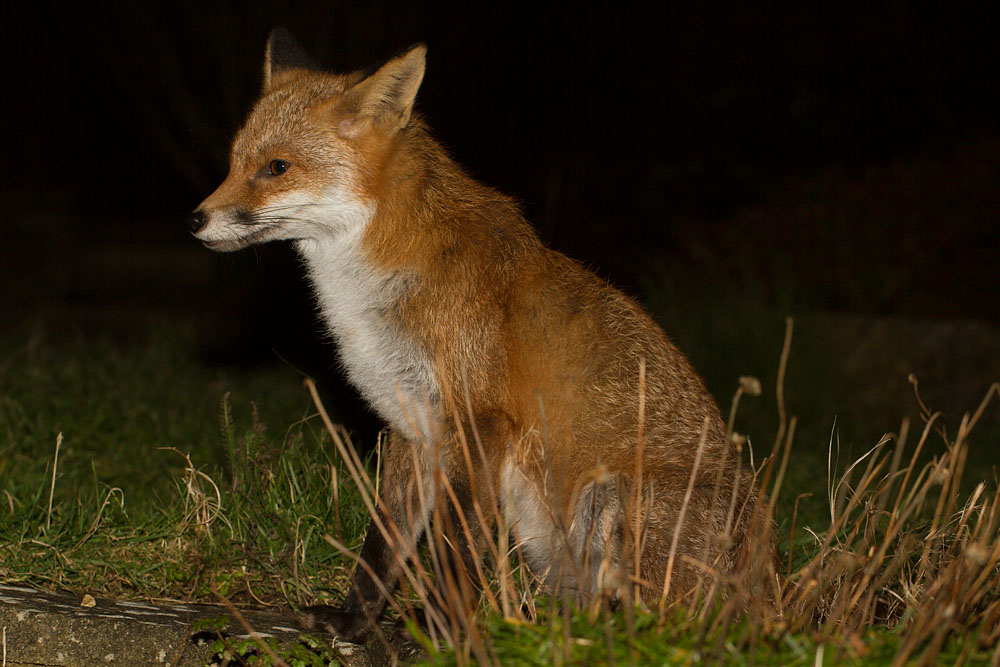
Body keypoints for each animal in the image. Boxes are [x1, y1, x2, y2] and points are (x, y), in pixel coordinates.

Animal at [190, 29, 773, 641]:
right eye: (233, 162)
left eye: (277, 167)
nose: (195, 220)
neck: (367, 295)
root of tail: (776, 594)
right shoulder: (412, 425)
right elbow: (384, 542)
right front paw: (353, 621)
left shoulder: (479, 419)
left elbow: (455, 544)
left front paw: (444, 628)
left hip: (610, 497)